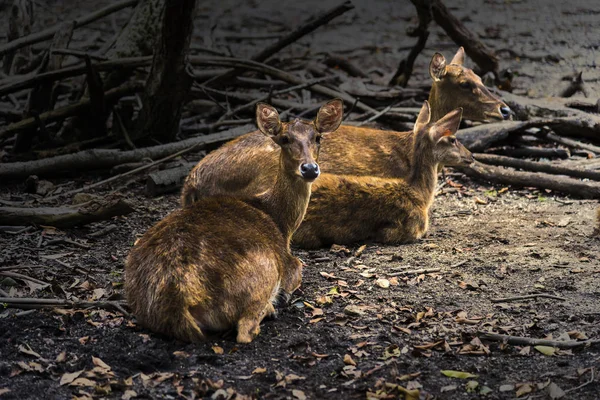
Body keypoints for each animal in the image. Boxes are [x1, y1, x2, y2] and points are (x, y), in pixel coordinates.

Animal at [124, 101, 340, 344]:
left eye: (318, 137)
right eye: (284, 139)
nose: (310, 168)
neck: (281, 222)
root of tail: (180, 301)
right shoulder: (289, 262)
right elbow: (299, 267)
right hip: (262, 270)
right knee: (246, 331)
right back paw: (271, 308)